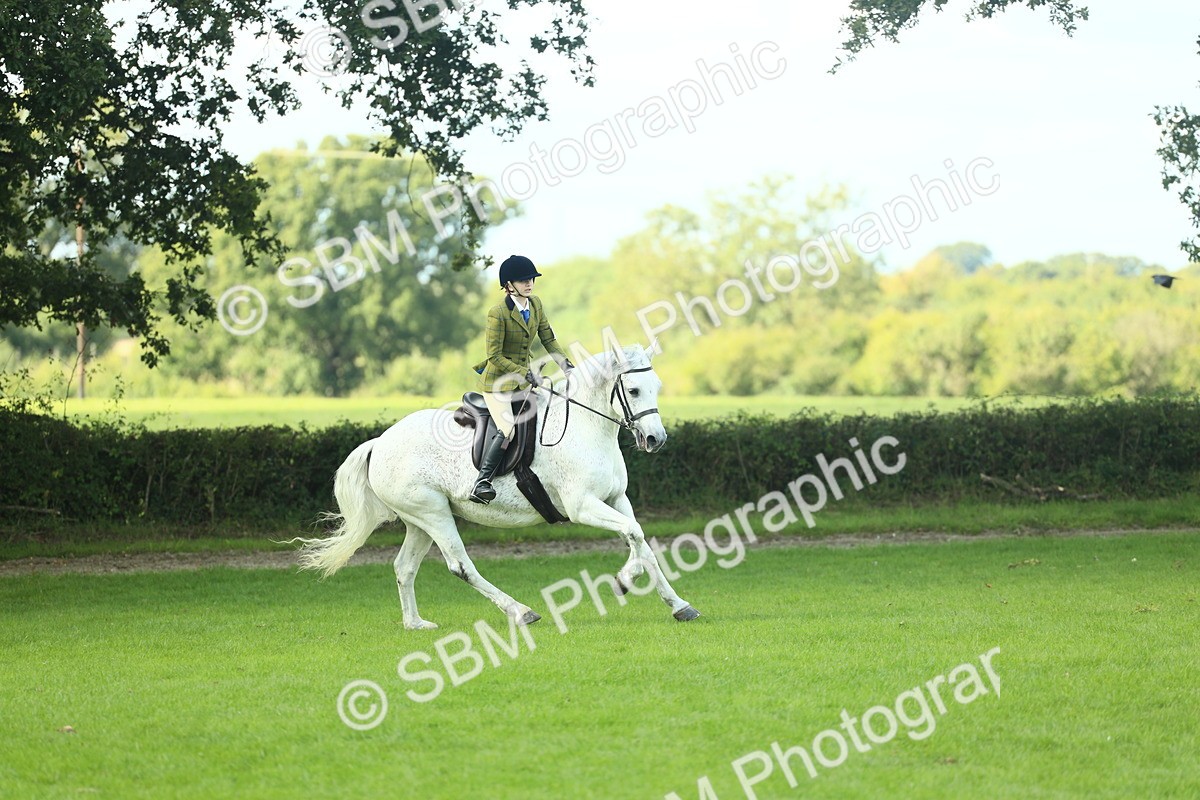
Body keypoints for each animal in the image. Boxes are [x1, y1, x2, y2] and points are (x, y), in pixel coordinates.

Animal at [291, 343, 700, 629]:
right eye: (633, 390)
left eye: (656, 387)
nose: (656, 439)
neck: (587, 426)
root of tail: (380, 443)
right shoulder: (582, 505)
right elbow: (634, 534)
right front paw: (626, 581)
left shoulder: (616, 498)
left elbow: (639, 538)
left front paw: (674, 603)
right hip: (434, 514)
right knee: (460, 566)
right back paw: (521, 612)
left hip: (418, 521)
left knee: (404, 567)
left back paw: (415, 623)